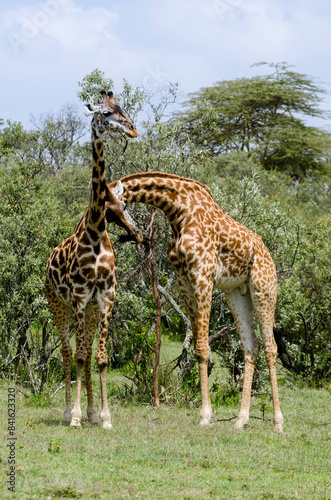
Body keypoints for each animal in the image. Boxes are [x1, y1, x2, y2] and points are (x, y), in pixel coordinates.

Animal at [45, 89, 143, 426]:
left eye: (122, 108)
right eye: (106, 114)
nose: (133, 131)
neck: (96, 234)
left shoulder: (106, 296)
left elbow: (99, 358)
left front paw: (104, 416)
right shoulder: (77, 296)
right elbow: (77, 355)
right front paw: (75, 416)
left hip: (87, 311)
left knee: (85, 352)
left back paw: (88, 411)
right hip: (58, 304)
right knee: (67, 352)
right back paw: (68, 412)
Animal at [107, 171, 284, 430]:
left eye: (120, 206)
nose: (135, 234)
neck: (178, 212)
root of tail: (269, 255)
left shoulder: (203, 276)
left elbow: (202, 347)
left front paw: (205, 416)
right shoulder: (184, 280)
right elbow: (197, 346)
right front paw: (207, 414)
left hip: (263, 289)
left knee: (271, 348)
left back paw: (278, 422)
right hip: (237, 293)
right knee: (252, 346)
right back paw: (241, 420)